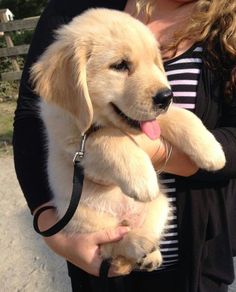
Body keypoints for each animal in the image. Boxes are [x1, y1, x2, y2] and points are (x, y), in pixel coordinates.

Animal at [30, 8, 226, 274]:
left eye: (154, 62)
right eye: (120, 65)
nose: (166, 96)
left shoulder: (154, 118)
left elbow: (182, 115)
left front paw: (211, 151)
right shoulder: (73, 139)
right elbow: (108, 139)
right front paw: (143, 180)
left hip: (162, 206)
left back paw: (150, 255)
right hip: (82, 221)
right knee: (111, 247)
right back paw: (137, 243)